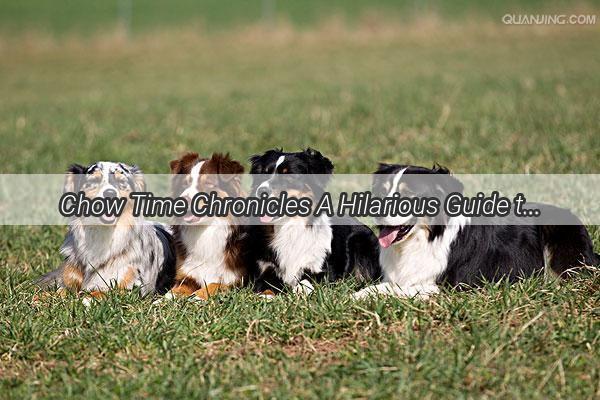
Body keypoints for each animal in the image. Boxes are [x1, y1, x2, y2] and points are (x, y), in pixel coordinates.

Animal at [165, 153, 256, 300]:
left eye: (208, 183)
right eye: (185, 183)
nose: (182, 201)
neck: (207, 229)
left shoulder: (236, 281)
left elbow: (213, 285)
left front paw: (197, 297)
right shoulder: (186, 275)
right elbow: (173, 291)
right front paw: (160, 301)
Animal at [354, 163, 596, 300]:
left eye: (409, 195)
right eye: (382, 191)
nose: (376, 210)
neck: (422, 239)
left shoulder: (452, 286)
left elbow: (400, 289)